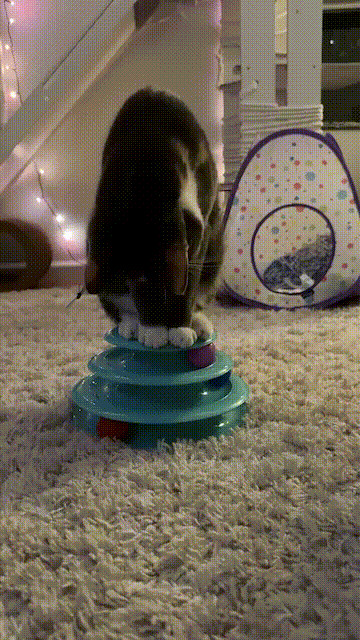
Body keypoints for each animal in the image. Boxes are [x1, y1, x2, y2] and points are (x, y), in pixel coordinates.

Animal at [85, 87, 224, 348]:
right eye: (136, 282)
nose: (162, 319)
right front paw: (153, 330)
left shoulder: (200, 235)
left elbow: (189, 284)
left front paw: (180, 327)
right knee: (117, 306)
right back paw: (131, 325)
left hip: (216, 256)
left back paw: (198, 322)